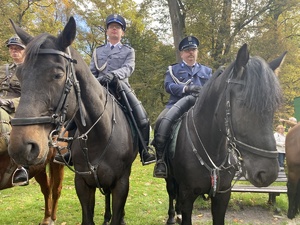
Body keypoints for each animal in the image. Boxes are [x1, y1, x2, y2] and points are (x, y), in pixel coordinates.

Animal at [7, 16, 138, 225]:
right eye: (20, 74)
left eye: (58, 74)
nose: (20, 147)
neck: (99, 136)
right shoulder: (83, 185)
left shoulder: (121, 184)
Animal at [163, 44, 288, 225]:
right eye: (243, 104)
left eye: (272, 108)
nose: (268, 174)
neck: (212, 149)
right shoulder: (187, 195)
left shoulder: (222, 195)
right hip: (169, 177)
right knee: (171, 193)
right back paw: (173, 216)